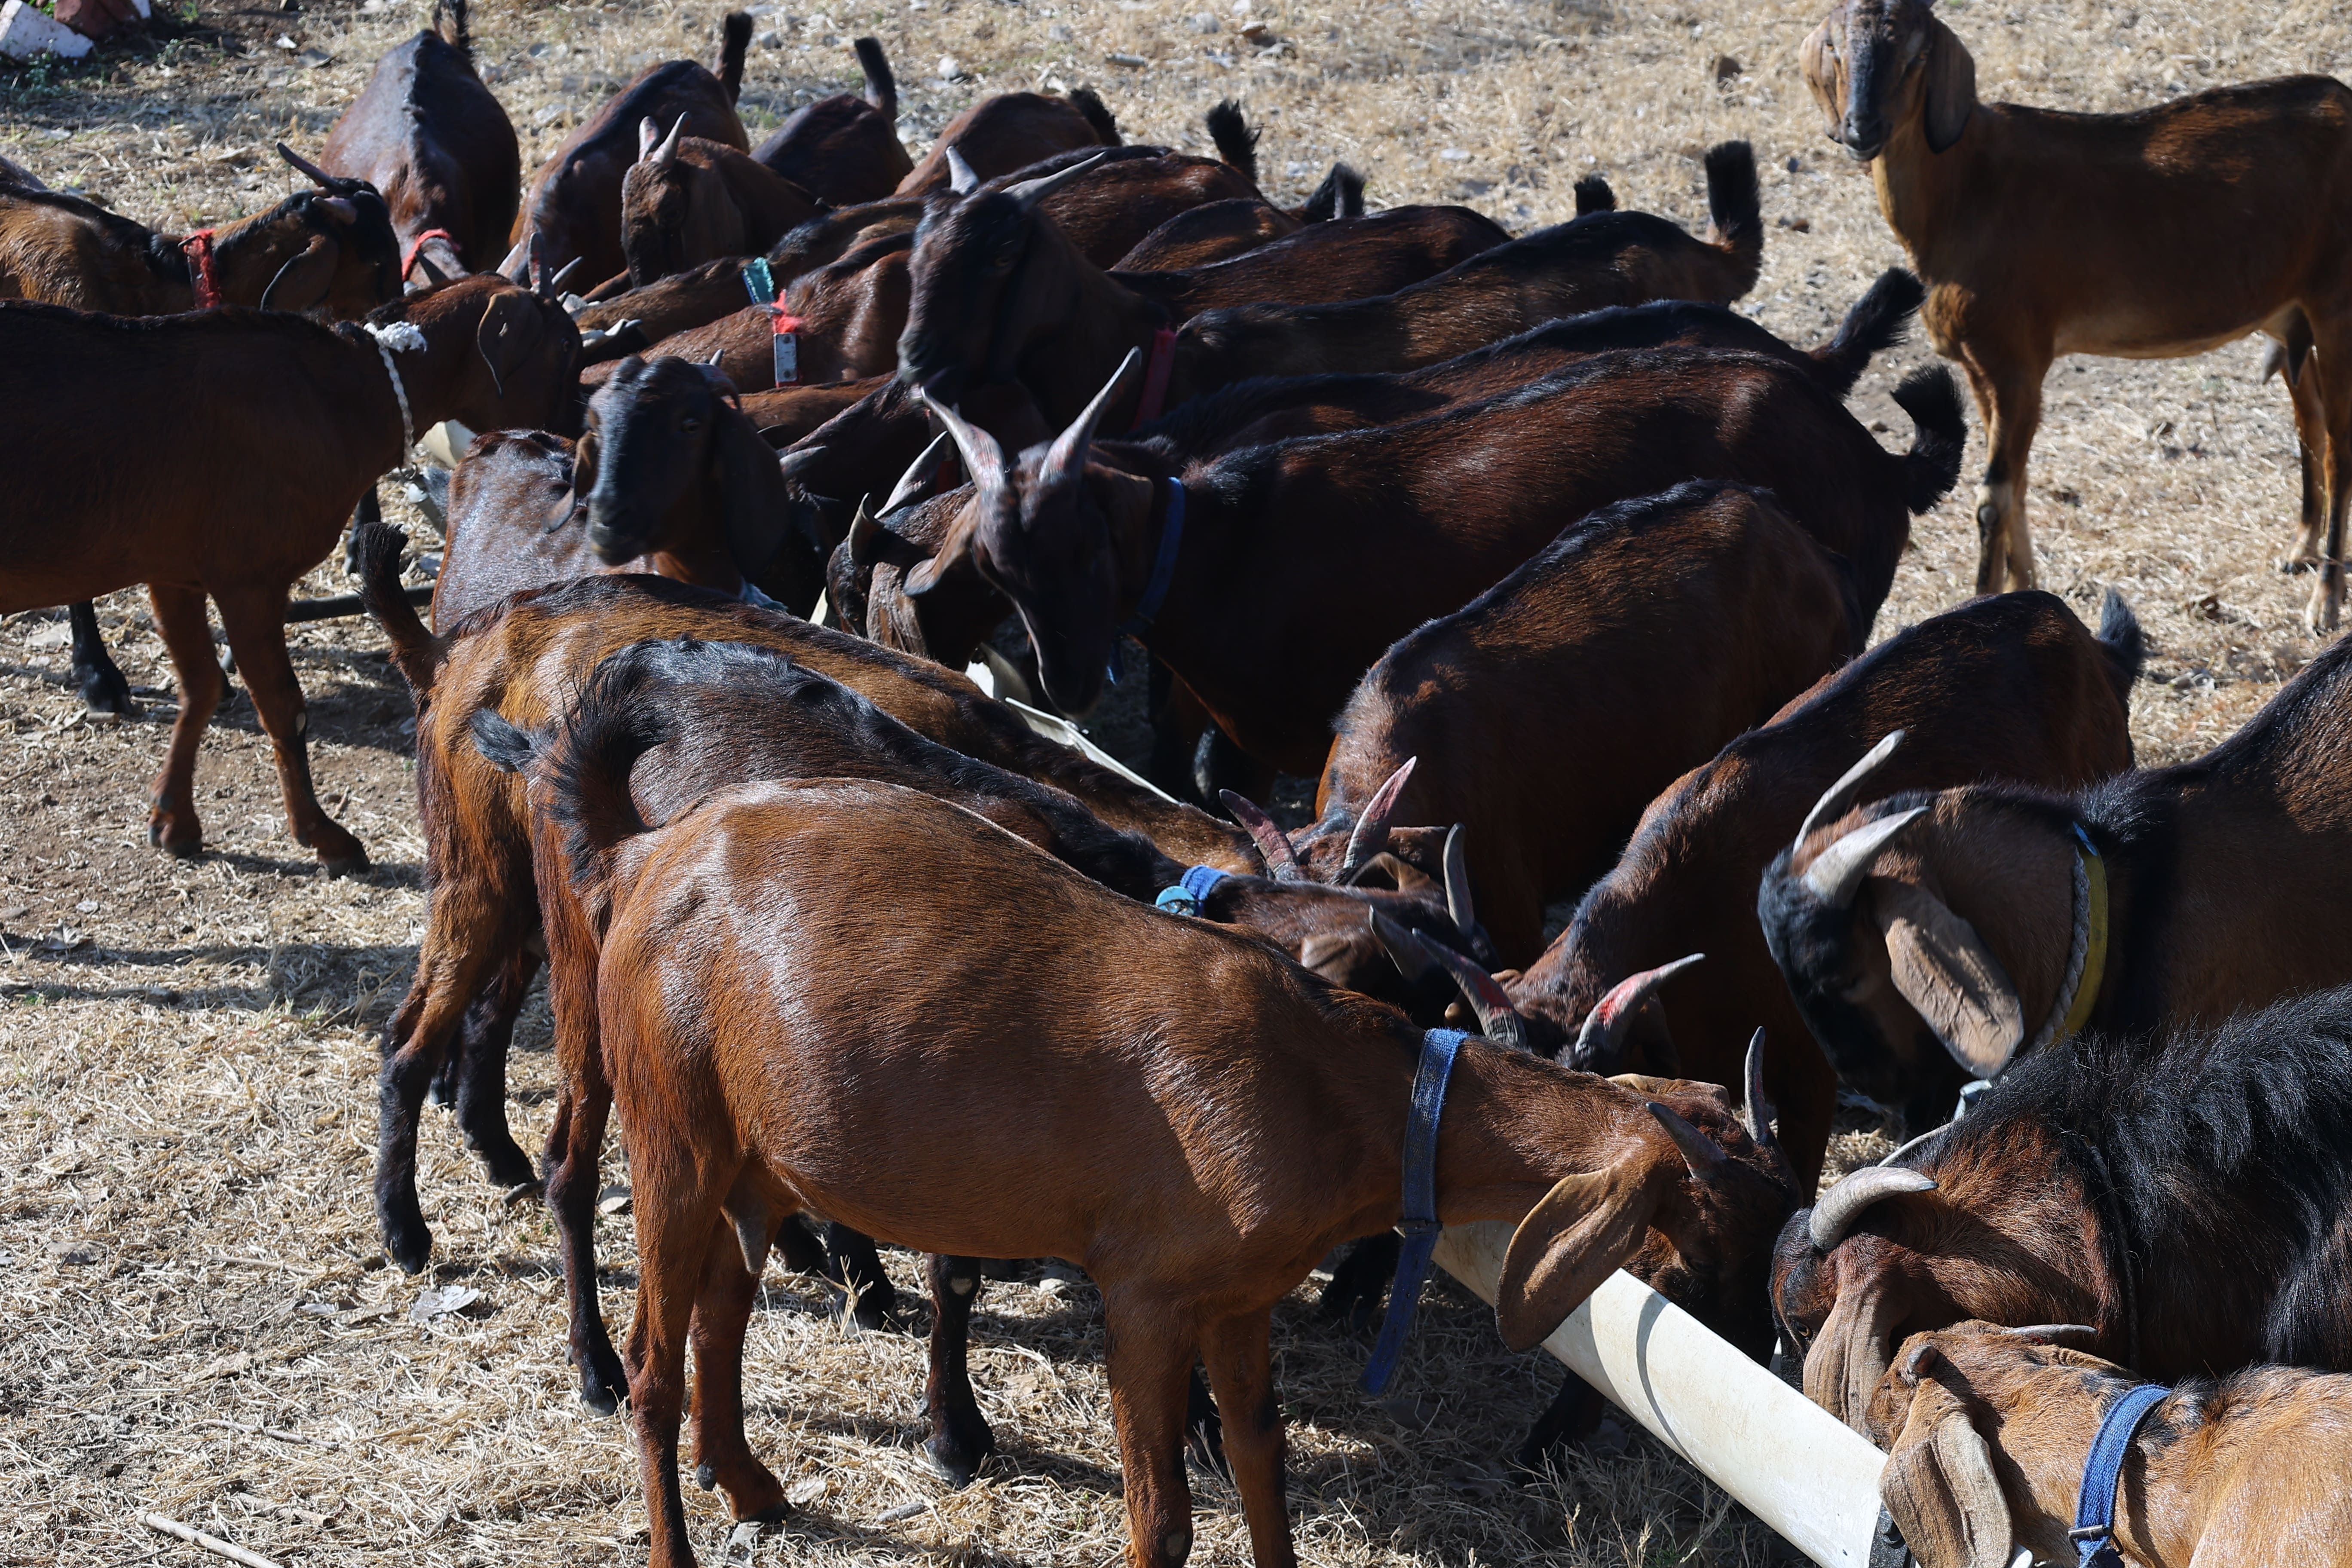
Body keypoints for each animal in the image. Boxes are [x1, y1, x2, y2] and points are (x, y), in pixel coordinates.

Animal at [0, 273, 577, 871]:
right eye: (565, 345)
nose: (570, 450)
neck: (339, 393)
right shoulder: (250, 579)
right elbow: (284, 708)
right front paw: (326, 837)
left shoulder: (174, 571)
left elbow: (202, 688)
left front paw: (174, 822)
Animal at [550, 758, 1793, 1567]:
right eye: (1713, 1240)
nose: (1756, 1354)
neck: (1344, 1095)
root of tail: (643, 857)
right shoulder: (1143, 1294)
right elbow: (1164, 1518)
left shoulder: (1240, 1299)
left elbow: (1261, 1461)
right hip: (669, 1128)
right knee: (655, 1362)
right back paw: (673, 1537)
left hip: (755, 1159)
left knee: (720, 1315)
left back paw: (752, 1486)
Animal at [1801, 0, 2352, 630]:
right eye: (1836, 47)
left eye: (1918, 55)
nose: (1861, 130)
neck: (1968, 188)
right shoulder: (1983, 367)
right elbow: (2017, 484)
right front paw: (2026, 587)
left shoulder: (2015, 359)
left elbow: (1994, 497)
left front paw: (1987, 602)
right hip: (2290, 310)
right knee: (2310, 417)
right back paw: (2300, 550)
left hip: (2336, 301)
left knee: (2340, 443)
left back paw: (2326, 601)